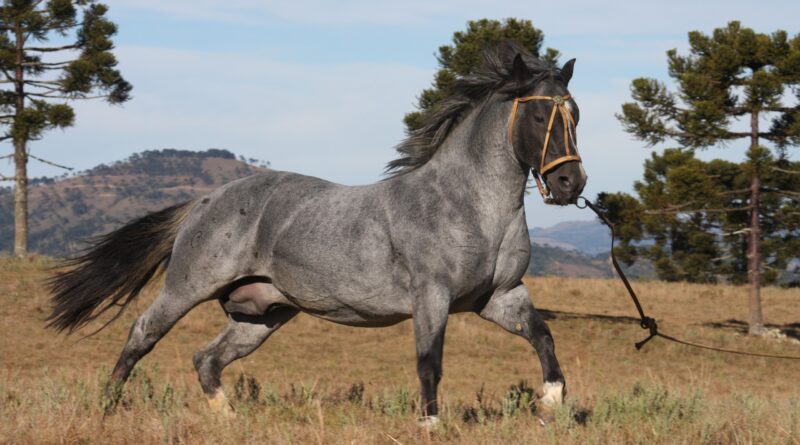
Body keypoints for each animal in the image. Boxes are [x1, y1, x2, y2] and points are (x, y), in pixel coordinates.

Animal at [47, 42, 587, 426]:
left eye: (576, 113)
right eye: (540, 115)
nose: (570, 183)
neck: (471, 206)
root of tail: (205, 201)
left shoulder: (499, 296)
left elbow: (544, 338)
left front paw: (551, 405)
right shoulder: (431, 296)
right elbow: (429, 362)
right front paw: (430, 426)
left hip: (261, 313)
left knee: (208, 358)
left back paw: (231, 421)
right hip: (188, 287)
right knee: (143, 334)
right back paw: (106, 408)